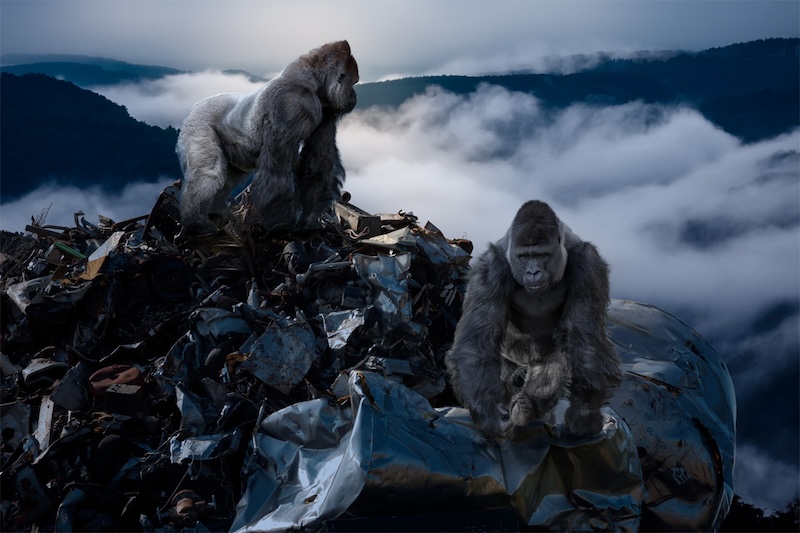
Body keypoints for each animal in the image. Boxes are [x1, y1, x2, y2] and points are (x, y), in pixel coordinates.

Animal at [178, 41, 360, 233]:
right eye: (353, 82)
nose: (354, 96)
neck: (310, 81)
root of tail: (196, 106)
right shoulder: (290, 106)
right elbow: (277, 173)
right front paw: (281, 224)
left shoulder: (326, 111)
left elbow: (319, 162)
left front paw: (309, 219)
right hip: (198, 122)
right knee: (208, 172)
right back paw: (195, 221)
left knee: (231, 175)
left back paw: (217, 209)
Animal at [446, 200, 620, 436]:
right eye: (525, 256)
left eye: (542, 254)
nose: (533, 272)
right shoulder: (488, 269)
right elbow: (476, 344)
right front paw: (487, 412)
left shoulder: (589, 265)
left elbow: (584, 340)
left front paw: (584, 413)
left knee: (558, 358)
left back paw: (529, 406)